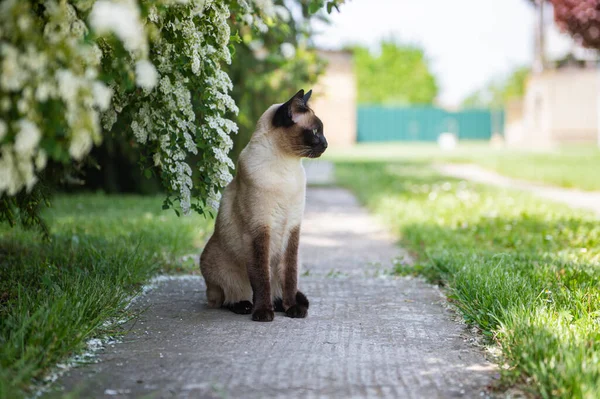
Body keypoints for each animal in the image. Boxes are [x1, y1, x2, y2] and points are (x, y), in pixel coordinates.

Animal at [199, 90, 326, 322]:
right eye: (315, 131)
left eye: (322, 131)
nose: (326, 144)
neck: (287, 168)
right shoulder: (258, 230)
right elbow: (261, 277)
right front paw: (263, 313)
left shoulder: (292, 230)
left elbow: (289, 277)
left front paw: (293, 309)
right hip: (218, 266)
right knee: (229, 297)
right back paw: (246, 306)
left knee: (280, 289)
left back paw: (282, 305)